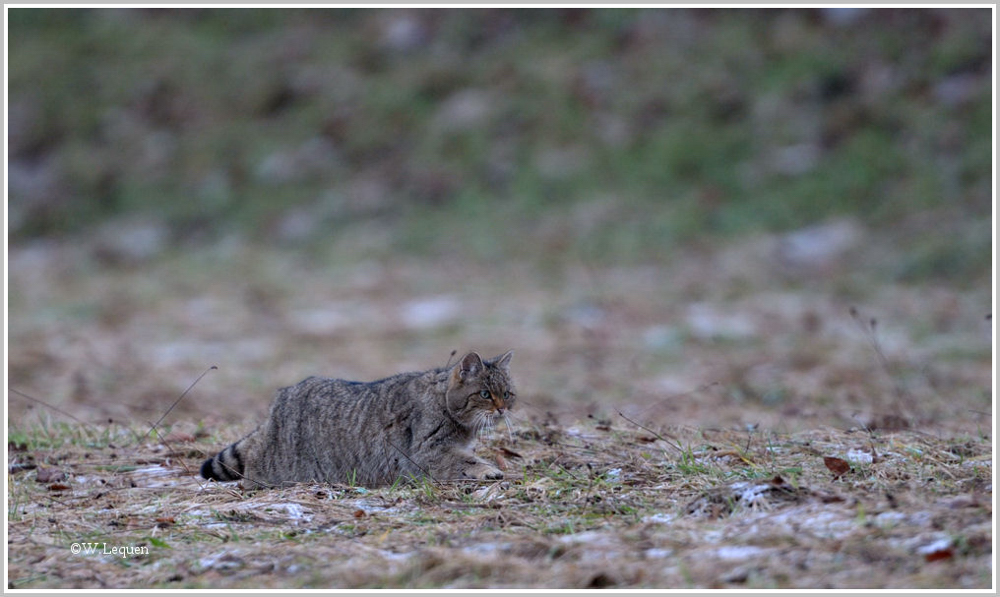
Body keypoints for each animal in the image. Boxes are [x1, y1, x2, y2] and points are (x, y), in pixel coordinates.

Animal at [200, 352, 520, 486]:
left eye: (507, 393)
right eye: (485, 394)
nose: (502, 409)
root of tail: (280, 399)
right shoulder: (427, 453)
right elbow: (466, 462)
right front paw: (487, 470)